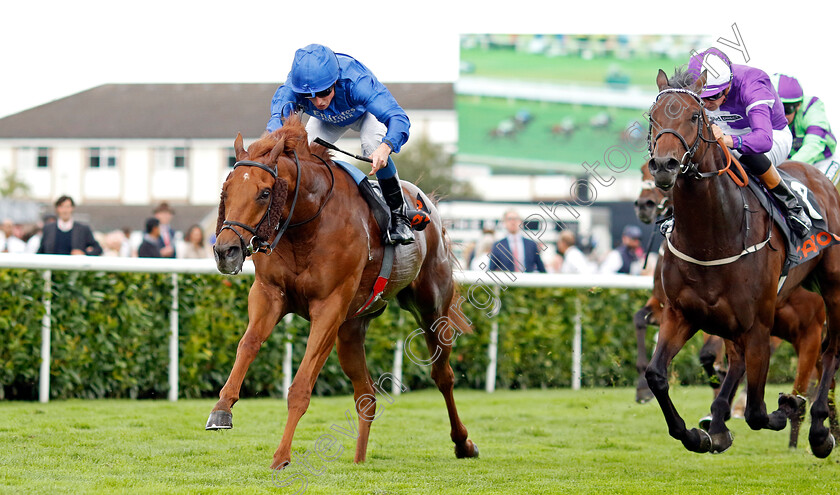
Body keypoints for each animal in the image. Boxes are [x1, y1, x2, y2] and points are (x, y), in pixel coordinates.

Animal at [206, 115, 476, 468]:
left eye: (265, 193)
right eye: (226, 190)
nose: (226, 251)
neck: (306, 224)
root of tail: (427, 204)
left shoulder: (329, 307)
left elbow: (301, 387)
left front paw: (281, 456)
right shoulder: (269, 294)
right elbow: (248, 344)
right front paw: (221, 409)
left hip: (431, 308)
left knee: (443, 375)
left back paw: (463, 443)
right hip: (351, 329)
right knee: (367, 395)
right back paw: (359, 460)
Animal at [648, 70, 840, 458]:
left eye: (695, 116)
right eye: (651, 117)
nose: (664, 166)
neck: (712, 237)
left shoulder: (759, 327)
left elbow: (757, 411)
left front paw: (788, 406)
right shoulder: (680, 313)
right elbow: (657, 375)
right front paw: (695, 434)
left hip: (834, 287)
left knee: (832, 352)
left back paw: (819, 430)